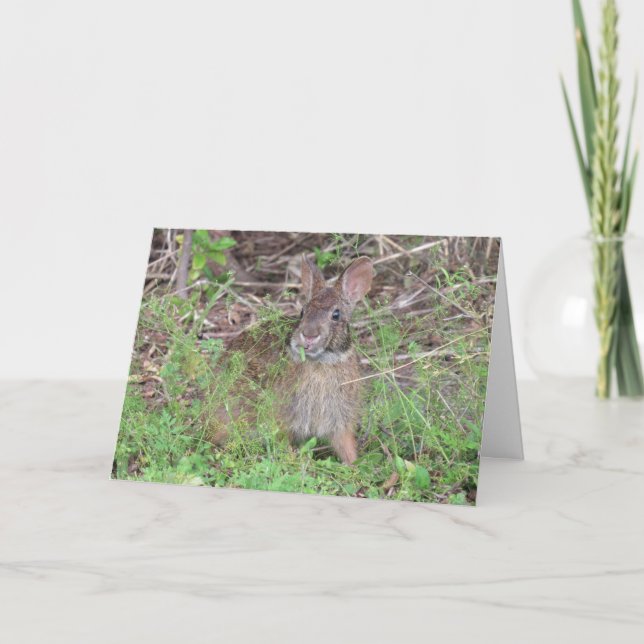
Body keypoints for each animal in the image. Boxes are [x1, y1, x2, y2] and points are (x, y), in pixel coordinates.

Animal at [209, 255, 374, 465]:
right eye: (303, 311)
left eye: (336, 315)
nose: (309, 335)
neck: (321, 362)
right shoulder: (284, 418)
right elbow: (282, 440)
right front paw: (293, 459)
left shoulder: (339, 420)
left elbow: (344, 445)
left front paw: (353, 465)